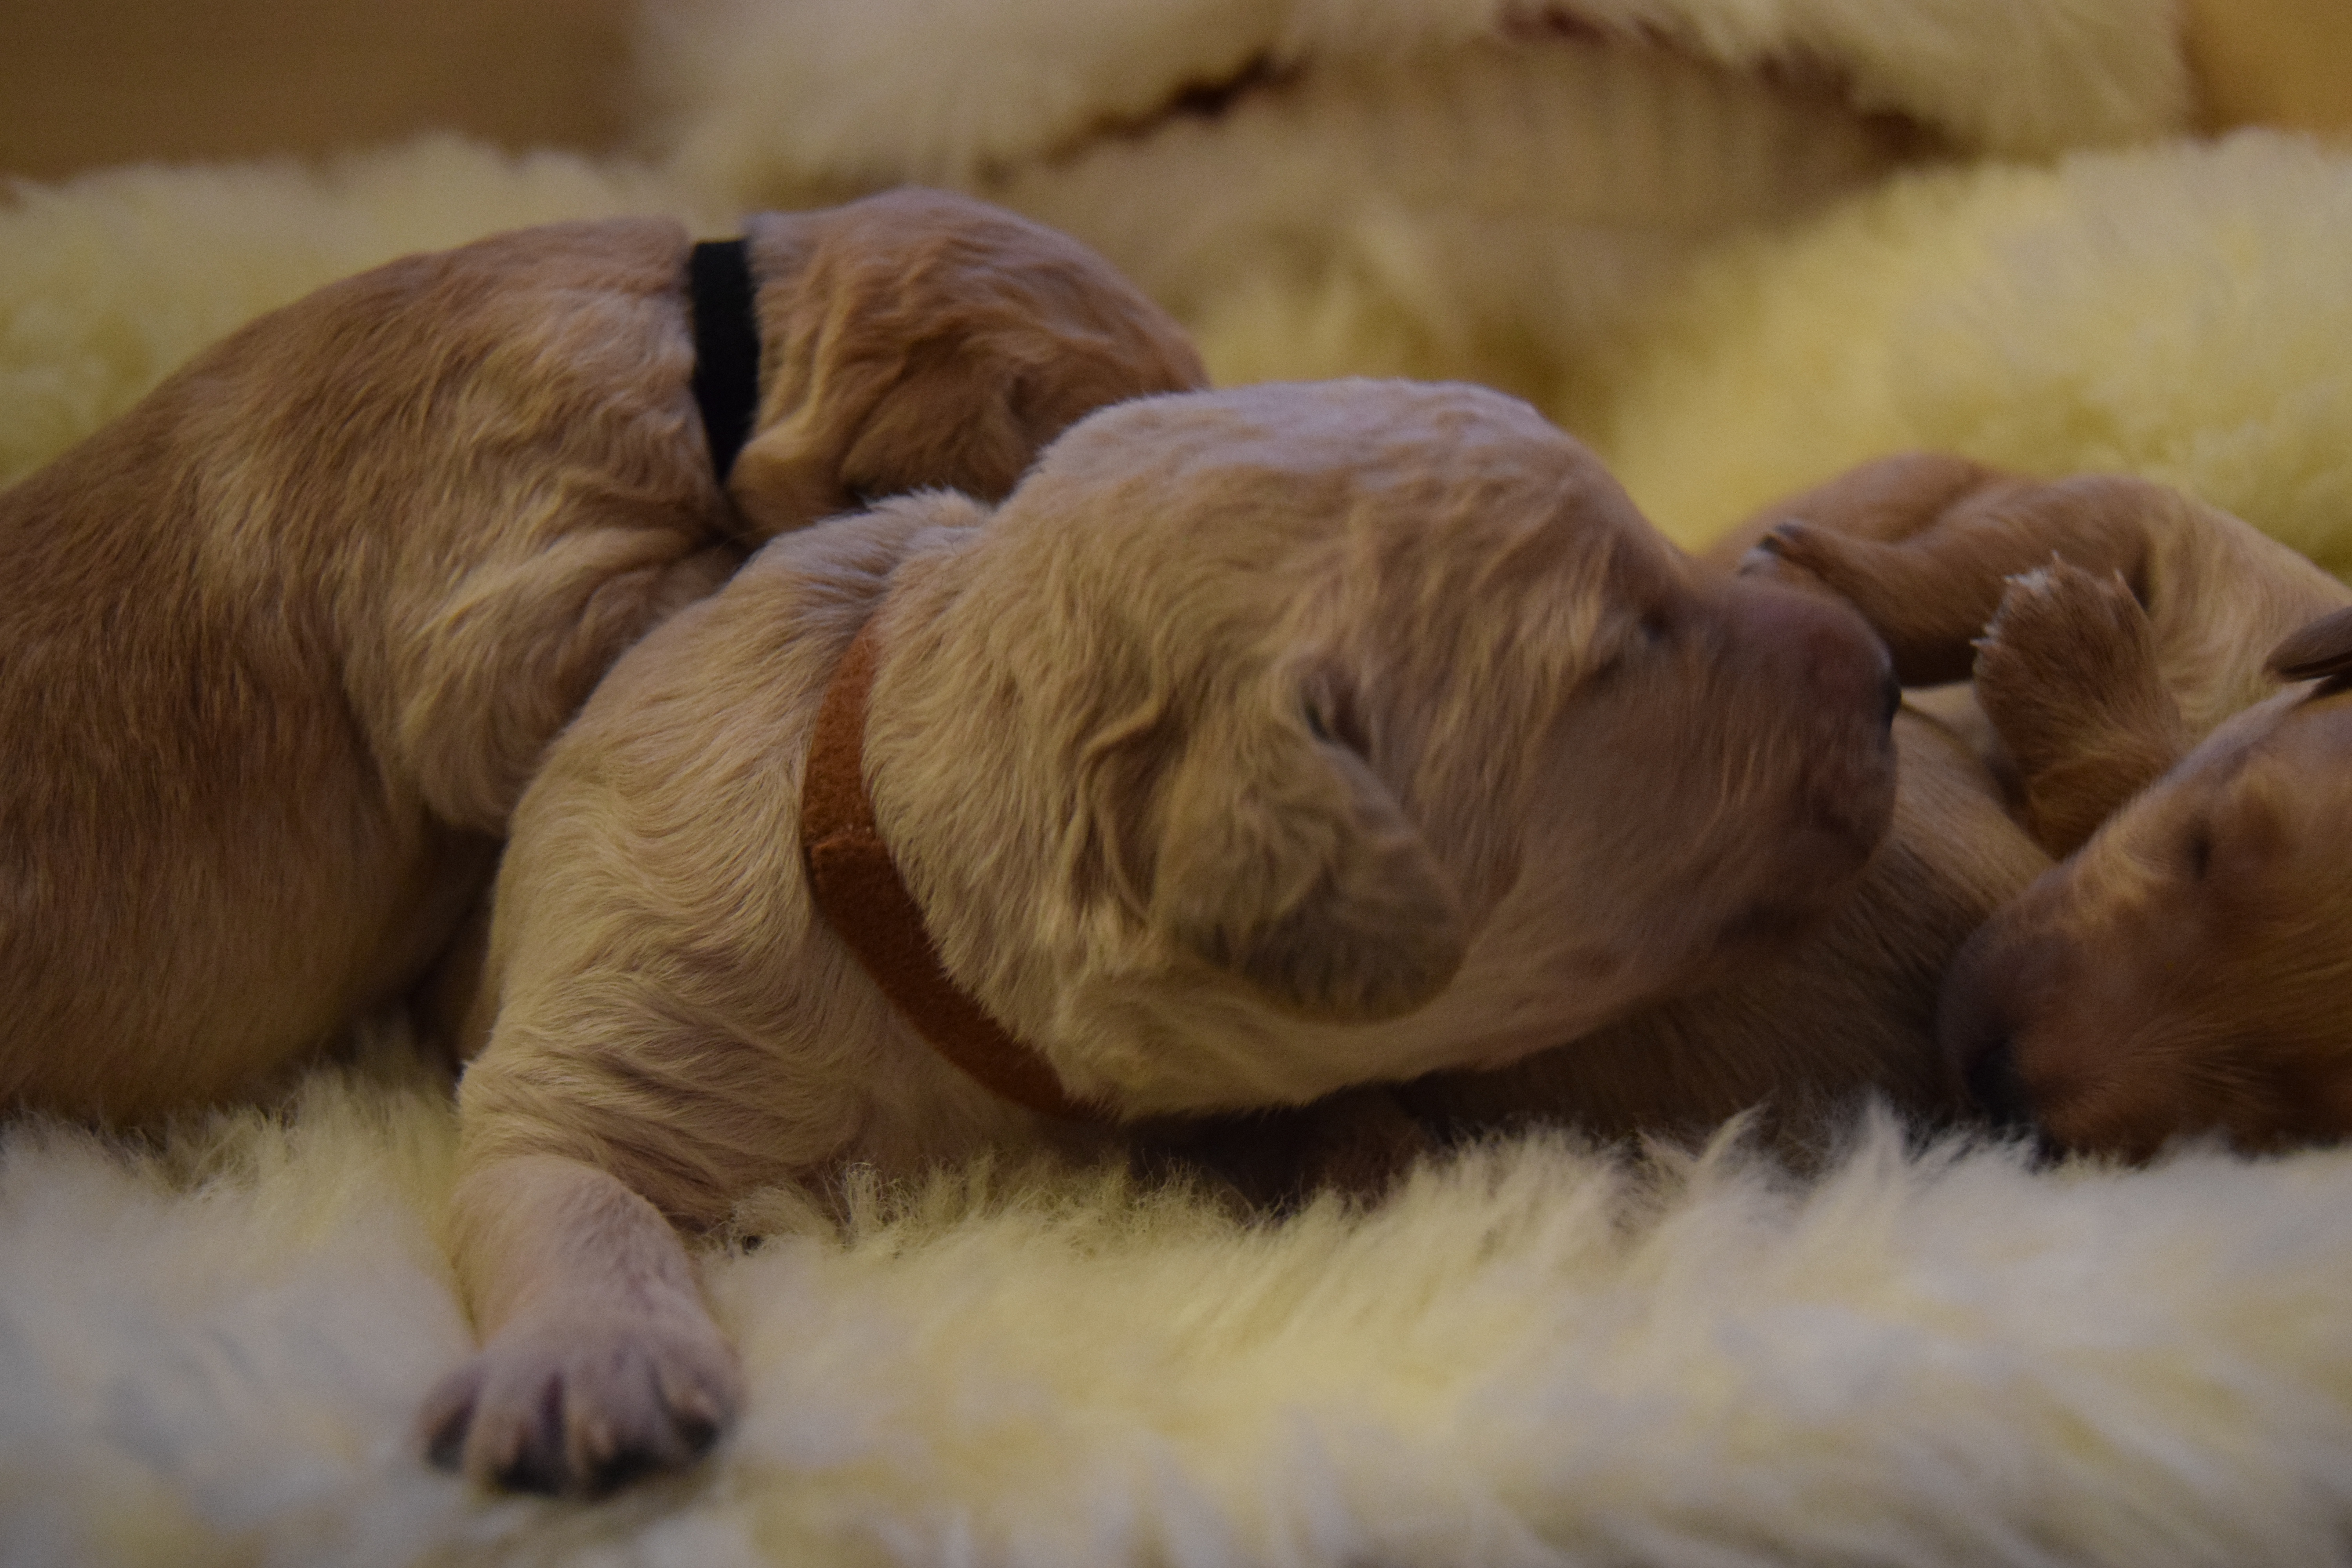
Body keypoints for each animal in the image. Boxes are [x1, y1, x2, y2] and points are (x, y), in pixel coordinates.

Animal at [433, 381, 1900, 1495]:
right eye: (1630, 648)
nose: (1887, 671)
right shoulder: (635, 1008)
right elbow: (565, 1178)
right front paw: (594, 1366)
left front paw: (1430, 1178)